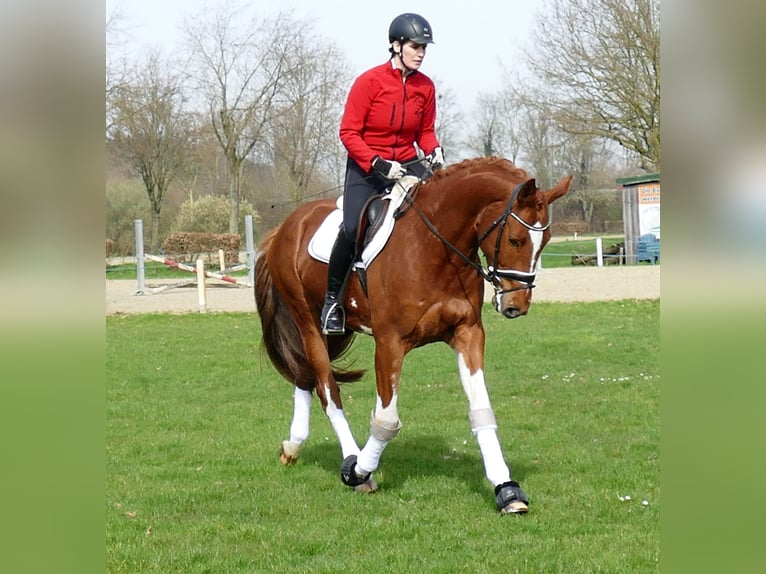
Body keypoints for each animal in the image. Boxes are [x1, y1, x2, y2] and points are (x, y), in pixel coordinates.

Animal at [255, 158, 572, 516]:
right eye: (516, 240)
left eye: (545, 241)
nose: (516, 306)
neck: (434, 247)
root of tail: (286, 226)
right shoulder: (389, 343)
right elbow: (386, 419)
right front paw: (359, 470)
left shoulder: (468, 334)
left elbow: (482, 410)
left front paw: (506, 490)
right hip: (307, 321)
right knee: (327, 390)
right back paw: (352, 463)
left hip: (334, 332)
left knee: (305, 376)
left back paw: (293, 446)